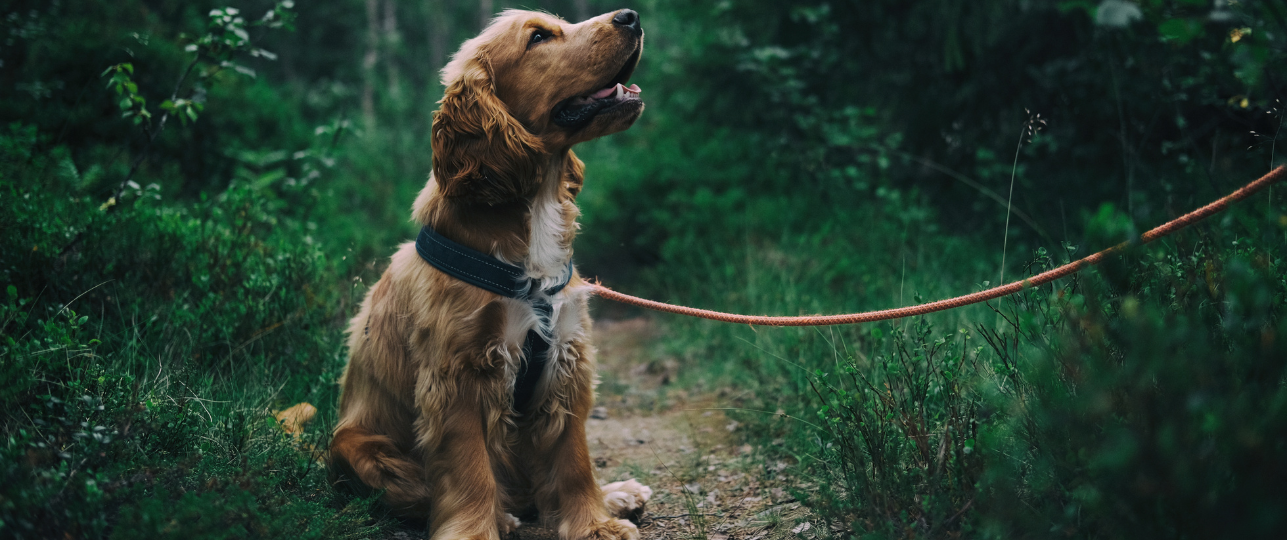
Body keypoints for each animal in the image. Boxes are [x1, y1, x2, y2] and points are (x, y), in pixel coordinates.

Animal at [329, 7, 653, 540]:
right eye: (538, 37)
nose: (630, 15)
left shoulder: (566, 357)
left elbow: (573, 457)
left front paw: (594, 523)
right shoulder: (458, 374)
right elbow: (469, 471)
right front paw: (477, 529)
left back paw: (617, 494)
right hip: (359, 449)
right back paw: (504, 513)